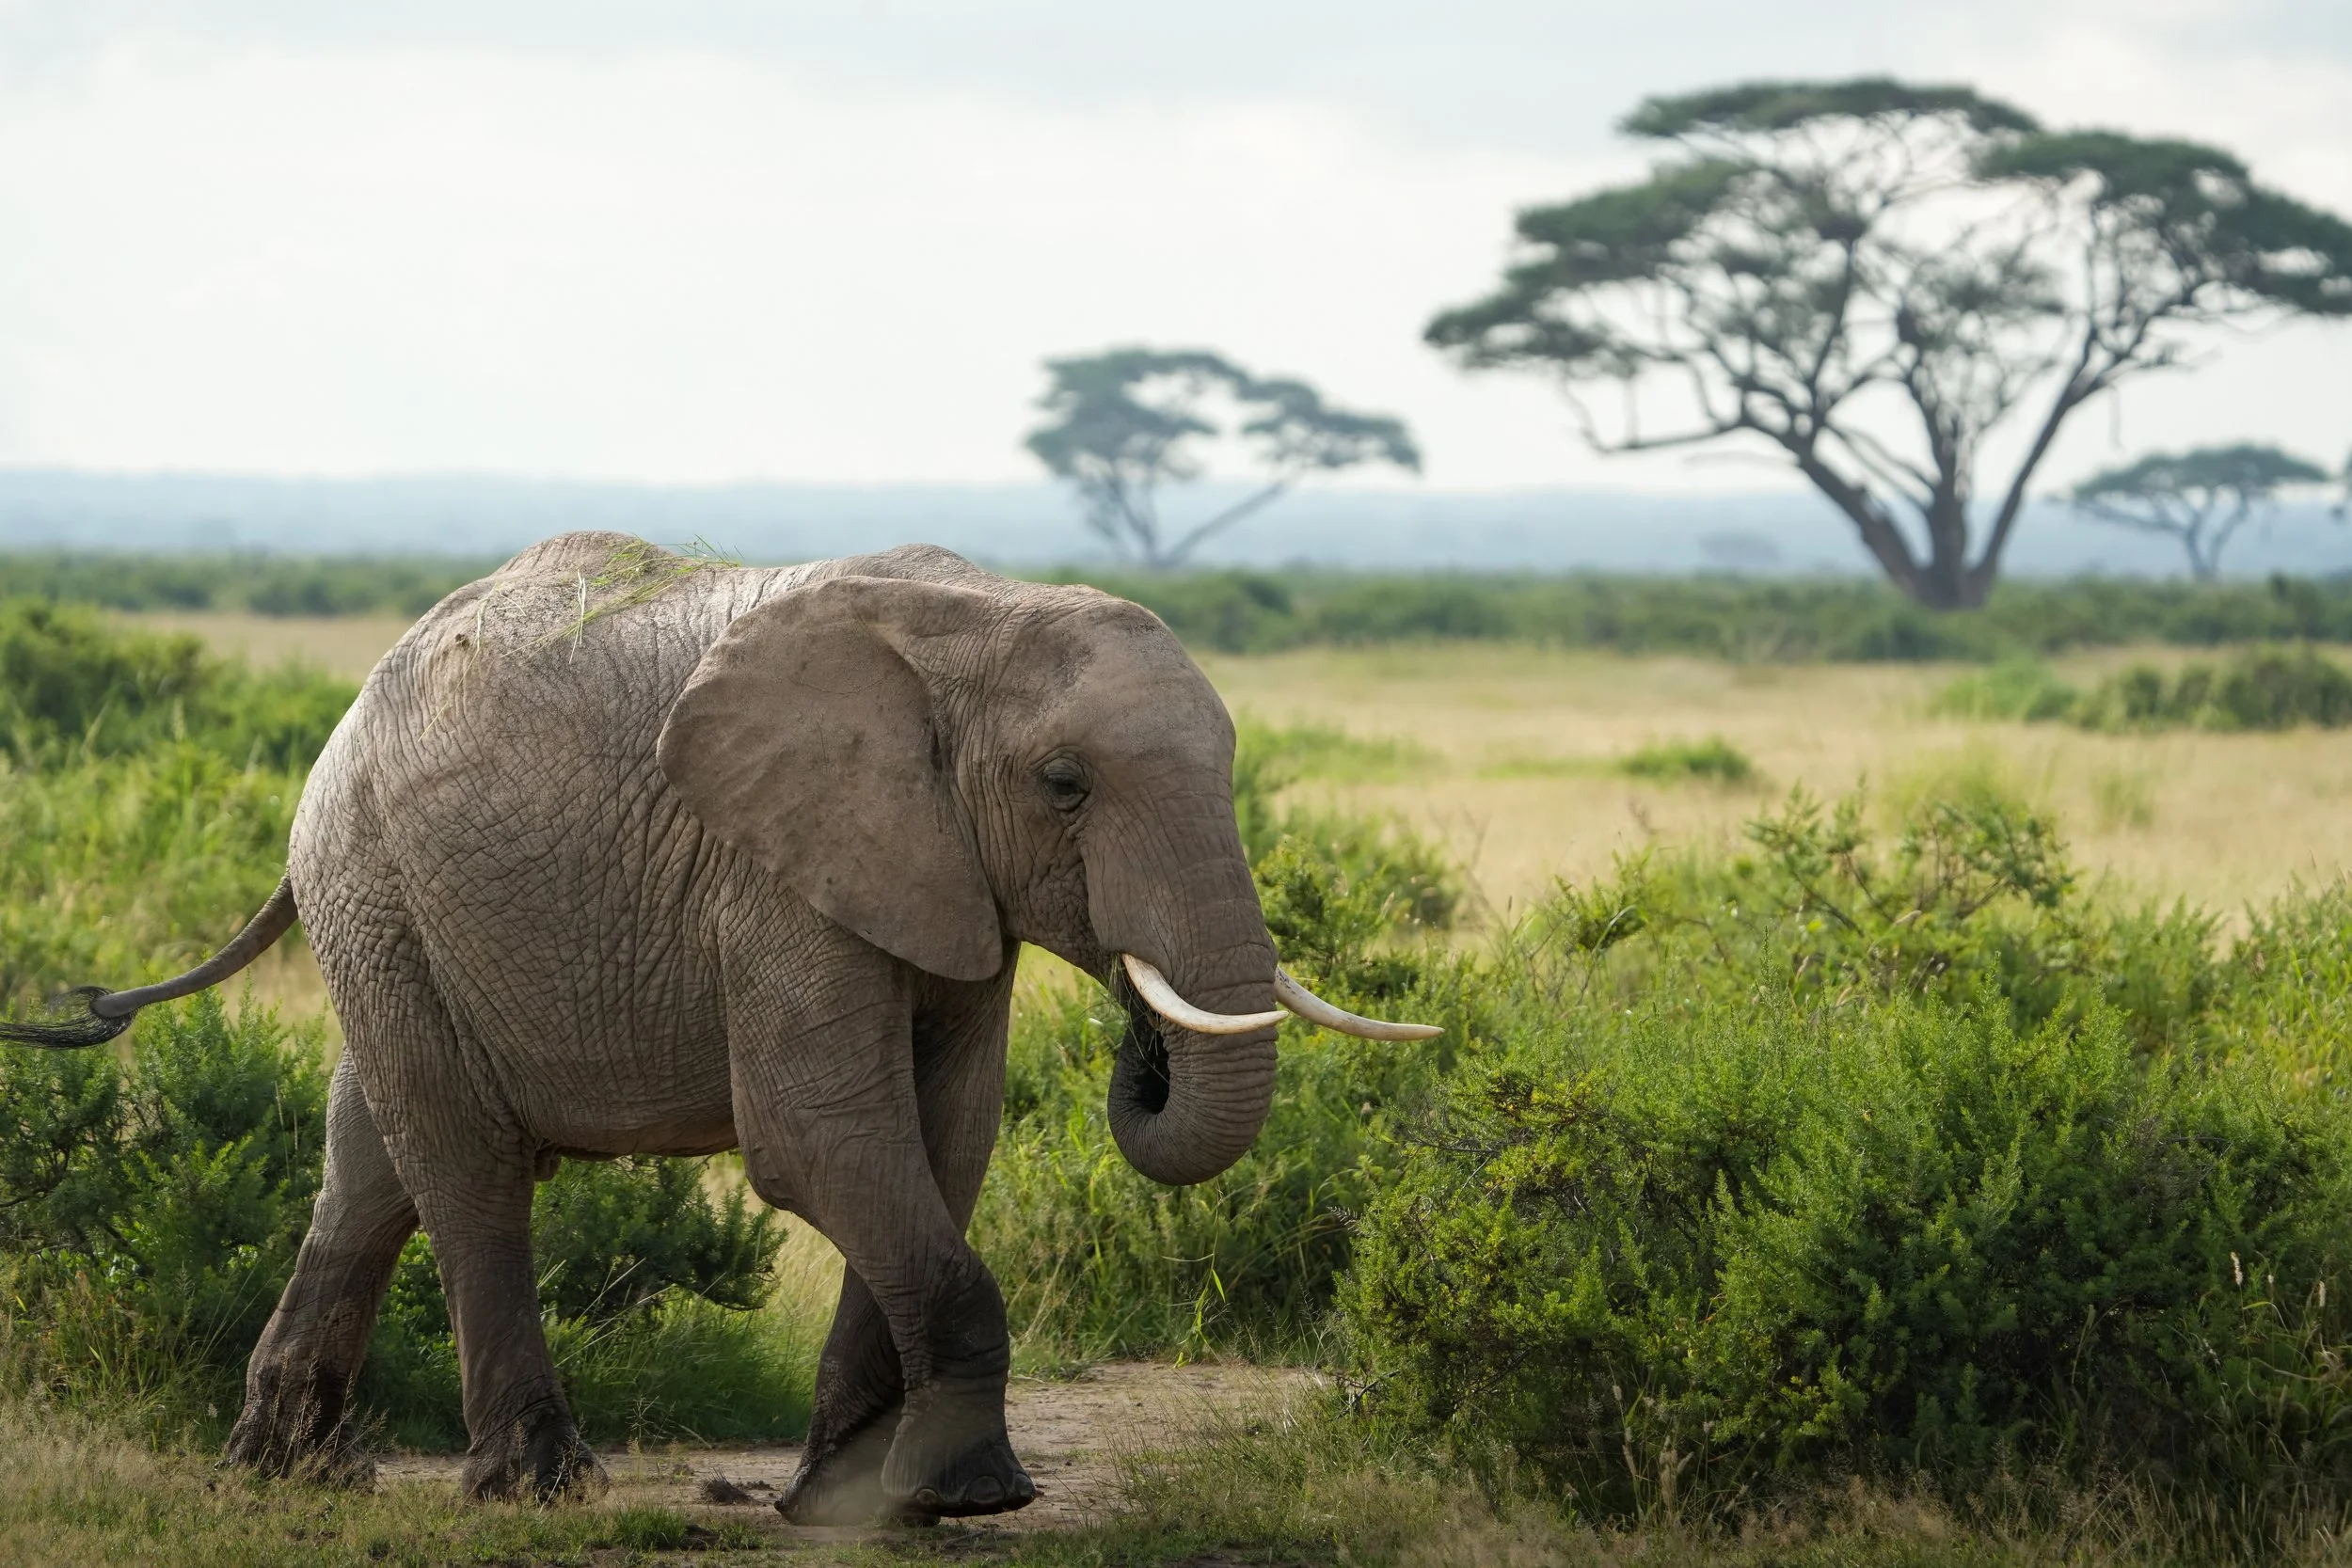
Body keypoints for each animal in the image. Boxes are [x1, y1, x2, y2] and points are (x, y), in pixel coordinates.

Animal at [1, 533, 1435, 1522]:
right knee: (466, 1172)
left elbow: (943, 1141)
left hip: (385, 909)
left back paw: (286, 1473)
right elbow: (820, 1140)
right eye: (1066, 783)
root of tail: (345, 717)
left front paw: (843, 1499)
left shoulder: (939, 873)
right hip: (372, 882)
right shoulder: (776, 872)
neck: (979, 612)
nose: (1143, 1039)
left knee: (368, 1171)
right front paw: (971, 1495)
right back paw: (535, 1487)